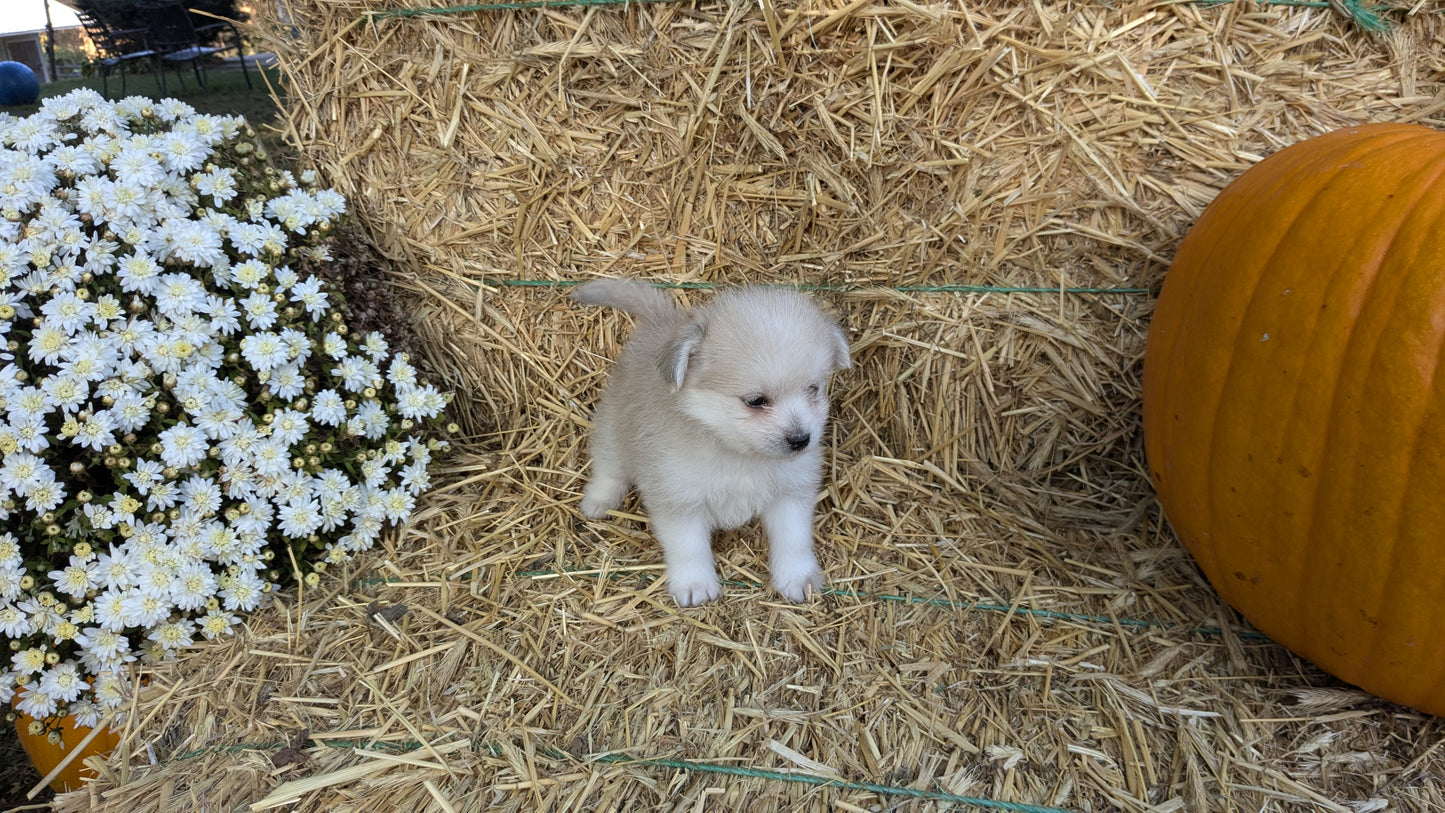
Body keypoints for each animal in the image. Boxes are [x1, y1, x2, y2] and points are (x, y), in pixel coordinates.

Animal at [572, 280, 843, 603]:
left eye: (813, 389)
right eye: (755, 401)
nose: (801, 440)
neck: (737, 455)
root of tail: (664, 321)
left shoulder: (791, 494)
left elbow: (794, 540)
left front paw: (799, 577)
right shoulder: (679, 501)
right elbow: (689, 548)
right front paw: (695, 584)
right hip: (612, 432)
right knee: (609, 469)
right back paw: (599, 501)